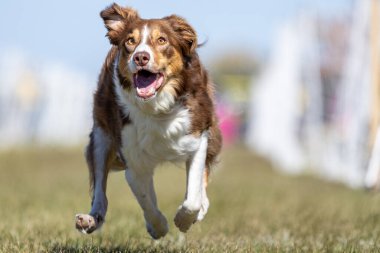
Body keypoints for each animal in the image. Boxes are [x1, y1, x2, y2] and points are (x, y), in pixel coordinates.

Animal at [74, 2, 221, 238]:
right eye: (130, 41)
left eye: (162, 40)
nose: (140, 57)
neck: (157, 109)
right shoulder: (133, 158)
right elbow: (146, 200)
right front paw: (158, 227)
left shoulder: (198, 137)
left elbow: (193, 195)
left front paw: (184, 220)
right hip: (101, 136)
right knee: (100, 192)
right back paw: (90, 219)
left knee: (202, 183)